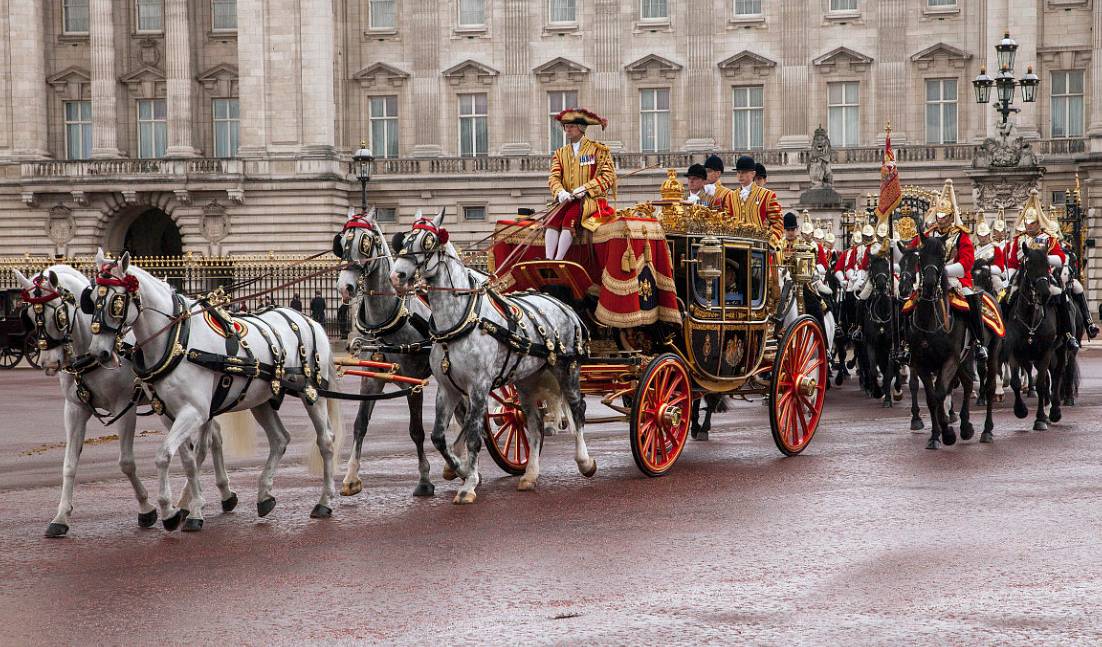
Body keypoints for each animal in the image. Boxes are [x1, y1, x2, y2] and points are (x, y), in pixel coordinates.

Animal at [15, 265, 240, 540]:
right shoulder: (75, 410)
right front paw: (60, 517)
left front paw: (147, 509)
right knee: (214, 438)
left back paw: (192, 502)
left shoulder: (125, 406)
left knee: (205, 445)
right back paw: (221, 495)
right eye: (28, 314)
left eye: (57, 314)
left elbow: (126, 463)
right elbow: (69, 465)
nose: (48, 363)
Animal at [86, 250, 339, 529]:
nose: (99, 353)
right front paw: (189, 509)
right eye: (91, 300)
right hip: (260, 399)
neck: (178, 340)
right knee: (280, 439)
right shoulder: (168, 414)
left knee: (326, 441)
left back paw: (325, 502)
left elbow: (164, 455)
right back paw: (264, 496)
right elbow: (187, 461)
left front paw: (172, 510)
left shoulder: (194, 412)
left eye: (116, 302)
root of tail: (309, 320)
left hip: (311, 394)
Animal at [387, 210, 595, 504]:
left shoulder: (479, 386)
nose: (397, 276)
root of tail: (562, 303)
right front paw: (460, 469)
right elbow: (438, 437)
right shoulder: (448, 388)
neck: (460, 322)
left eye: (428, 242)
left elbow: (475, 434)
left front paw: (468, 484)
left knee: (577, 409)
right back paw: (530, 475)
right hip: (527, 380)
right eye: (404, 240)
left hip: (567, 369)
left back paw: (585, 462)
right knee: (534, 423)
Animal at [908, 236, 978, 449]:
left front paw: (947, 433)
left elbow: (940, 393)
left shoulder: (950, 360)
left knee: (967, 384)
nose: (930, 284)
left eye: (941, 256)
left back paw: (965, 427)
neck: (929, 322)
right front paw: (935, 436)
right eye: (921, 255)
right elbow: (932, 398)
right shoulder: (921, 363)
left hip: (963, 358)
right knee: (964, 383)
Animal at [1009, 245, 1066, 432]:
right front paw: (1020, 410)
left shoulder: (1046, 352)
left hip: (1060, 350)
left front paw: (1040, 418)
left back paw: (1054, 411)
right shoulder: (1014, 351)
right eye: (1029, 265)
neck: (1030, 319)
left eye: (1047, 265)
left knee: (1057, 375)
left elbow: (1041, 384)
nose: (1045, 294)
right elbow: (1015, 382)